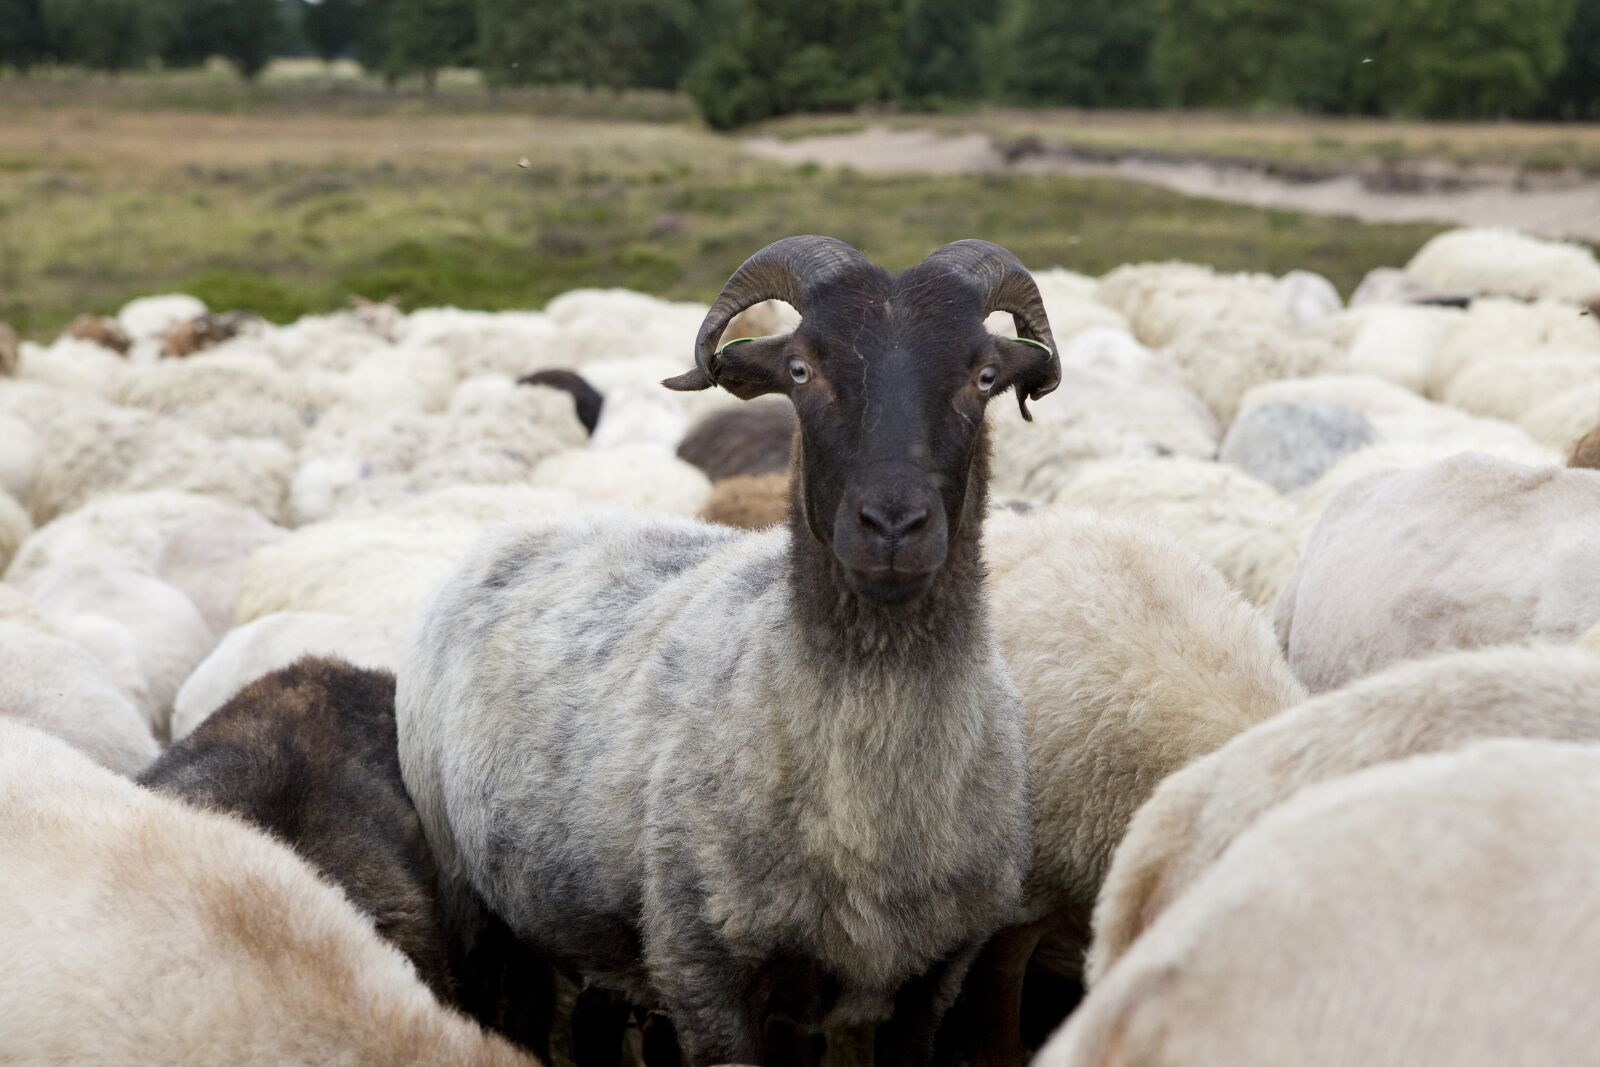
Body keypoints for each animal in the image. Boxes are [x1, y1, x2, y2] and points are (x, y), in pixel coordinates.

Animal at [396, 237, 1063, 1065]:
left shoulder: (936, 974)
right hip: (472, 897)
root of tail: (524, 527)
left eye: (986, 375)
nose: (892, 525)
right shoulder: (704, 971)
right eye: (802, 369)